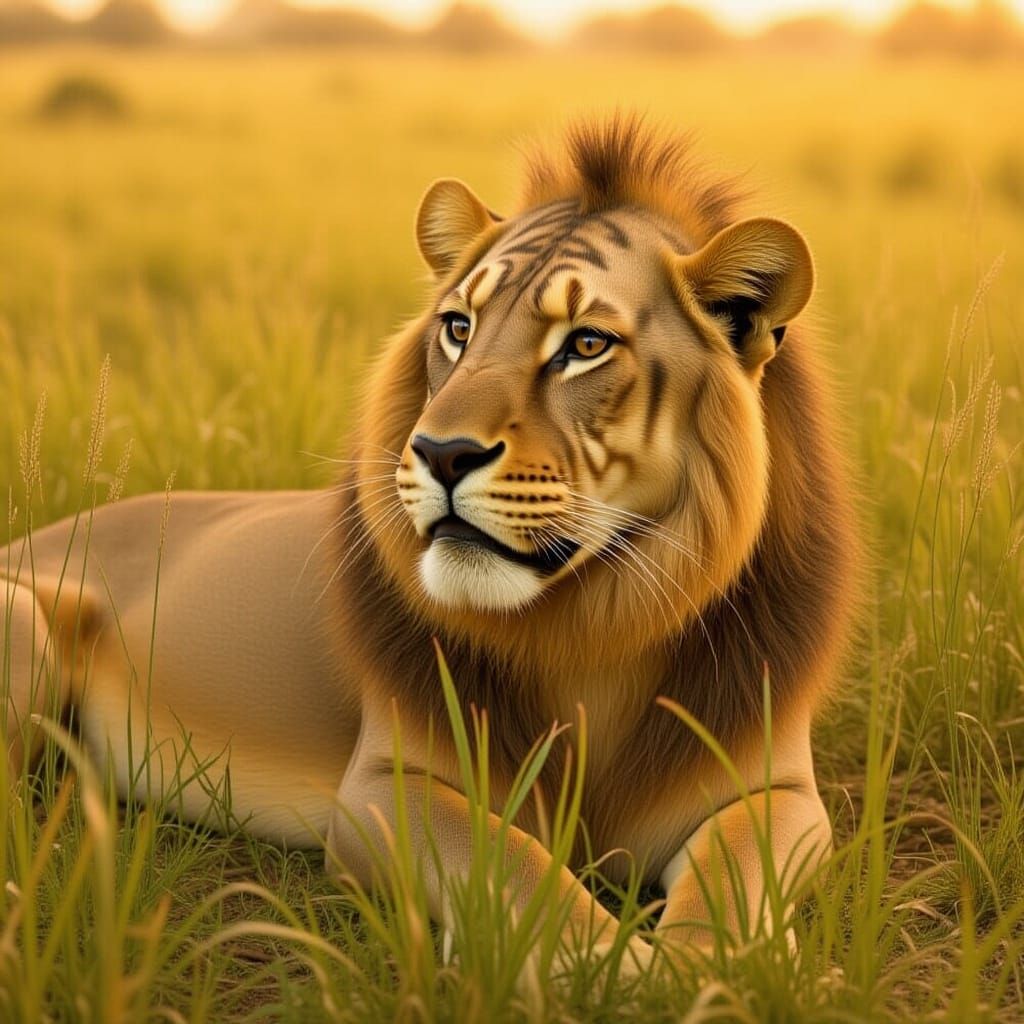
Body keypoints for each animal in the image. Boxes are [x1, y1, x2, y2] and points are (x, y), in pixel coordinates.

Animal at [2, 117, 858, 968]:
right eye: (458, 328)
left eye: (586, 345)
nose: (442, 453)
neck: (596, 630)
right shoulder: (381, 787)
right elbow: (513, 865)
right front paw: (615, 970)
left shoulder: (777, 792)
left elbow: (732, 884)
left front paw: (698, 970)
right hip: (25, 630)